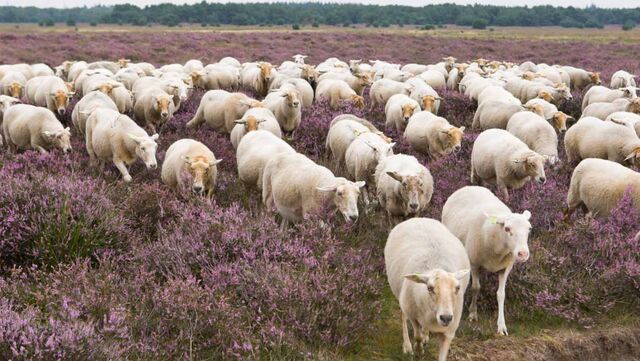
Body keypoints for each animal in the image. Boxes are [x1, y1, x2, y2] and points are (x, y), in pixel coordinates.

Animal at [384, 217, 470, 358]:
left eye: (457, 288)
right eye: (430, 288)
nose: (446, 318)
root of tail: (418, 218)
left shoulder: (449, 331)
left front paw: (424, 340)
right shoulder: (413, 315)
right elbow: (417, 336)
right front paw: (418, 350)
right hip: (402, 297)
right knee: (403, 316)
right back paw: (407, 346)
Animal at [442, 186, 532, 334]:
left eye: (529, 229)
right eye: (507, 228)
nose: (523, 253)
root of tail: (469, 186)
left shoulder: (505, 268)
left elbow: (501, 294)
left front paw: (501, 326)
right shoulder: (473, 263)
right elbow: (475, 287)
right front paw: (473, 314)